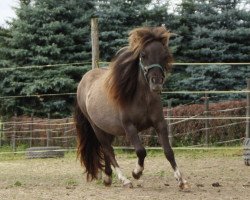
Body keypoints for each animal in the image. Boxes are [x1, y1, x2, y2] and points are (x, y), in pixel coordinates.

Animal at [75, 27, 188, 189]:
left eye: (164, 55)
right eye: (143, 55)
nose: (156, 82)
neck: (142, 99)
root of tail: (84, 80)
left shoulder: (160, 123)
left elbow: (168, 151)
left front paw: (181, 180)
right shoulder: (129, 126)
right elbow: (141, 151)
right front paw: (136, 173)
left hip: (108, 129)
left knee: (106, 150)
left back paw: (108, 178)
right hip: (96, 127)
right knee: (108, 149)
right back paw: (124, 180)